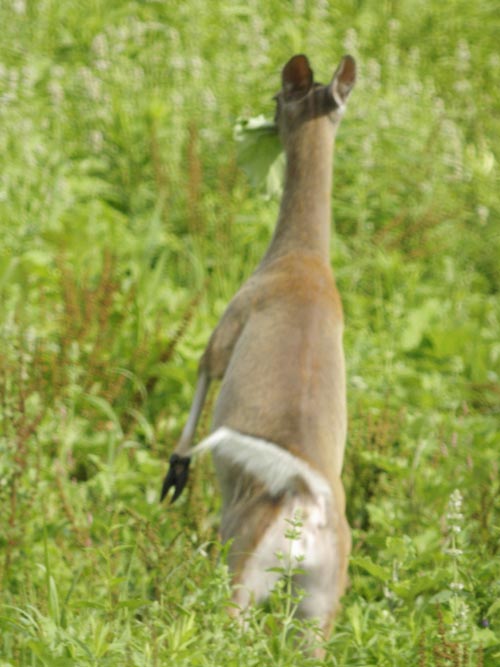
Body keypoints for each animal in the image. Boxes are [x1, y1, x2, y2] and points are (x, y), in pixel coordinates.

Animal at [161, 52, 356, 654]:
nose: (262, 119)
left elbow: (203, 369)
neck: (304, 261)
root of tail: (304, 500)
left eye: (277, 97)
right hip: (320, 604)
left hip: (242, 567)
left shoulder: (231, 319)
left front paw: (175, 473)